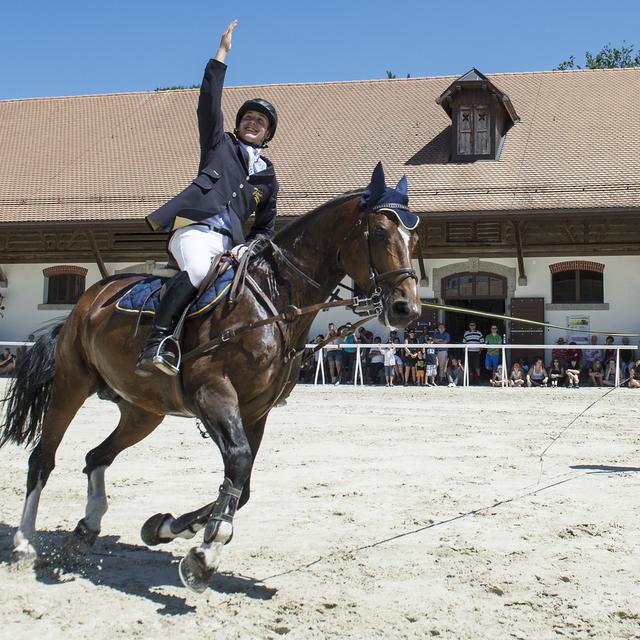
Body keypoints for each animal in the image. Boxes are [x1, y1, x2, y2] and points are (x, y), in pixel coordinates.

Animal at [2, 162, 422, 592]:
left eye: (415, 237)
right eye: (378, 232)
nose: (406, 309)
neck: (273, 300)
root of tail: (87, 300)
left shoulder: (255, 411)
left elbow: (244, 482)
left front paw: (166, 527)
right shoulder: (213, 393)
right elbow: (238, 461)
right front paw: (206, 550)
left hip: (142, 411)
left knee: (96, 456)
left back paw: (87, 527)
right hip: (72, 383)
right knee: (43, 458)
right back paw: (24, 543)